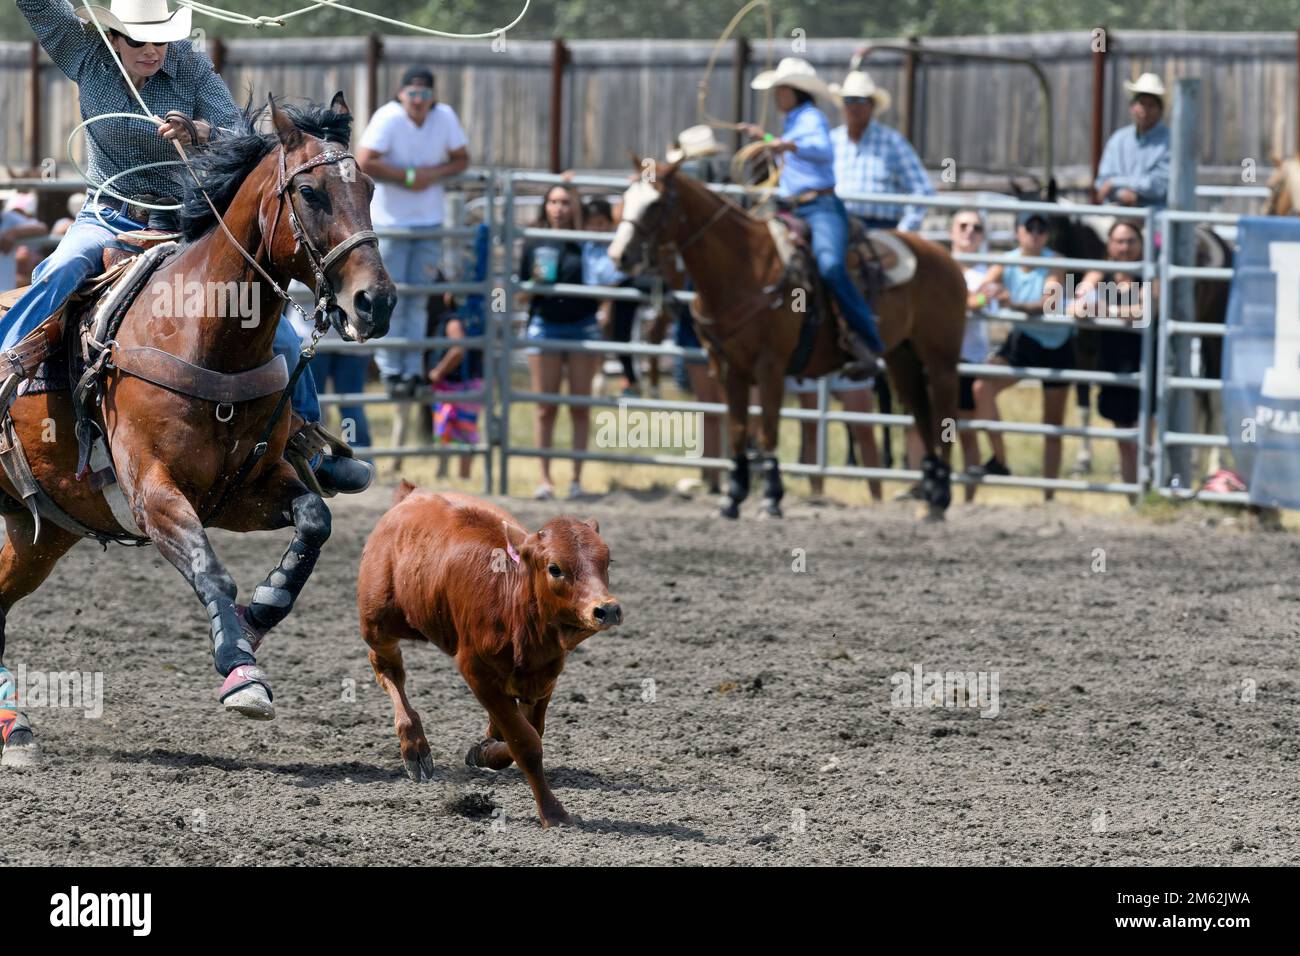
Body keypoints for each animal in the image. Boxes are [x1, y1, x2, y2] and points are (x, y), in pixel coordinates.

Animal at [0, 93, 392, 764]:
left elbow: (315, 520)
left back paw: (14, 726)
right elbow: (211, 569)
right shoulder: (153, 493)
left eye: (367, 188)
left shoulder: (244, 491)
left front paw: (259, 613)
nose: (377, 302)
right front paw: (241, 672)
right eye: (309, 191)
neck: (202, 331)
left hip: (37, 534)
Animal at [356, 481, 618, 827]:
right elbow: (526, 742)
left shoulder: (544, 676)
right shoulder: (477, 672)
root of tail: (412, 495)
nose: (608, 609)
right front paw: (553, 812)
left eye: (607, 561)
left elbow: (527, 732)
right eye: (555, 568)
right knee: (388, 669)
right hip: (377, 623)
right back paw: (415, 748)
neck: (513, 605)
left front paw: (483, 750)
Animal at [608, 160, 967, 520]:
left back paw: (942, 495)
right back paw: (930, 497)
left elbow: (768, 431)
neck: (743, 268)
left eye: (655, 203)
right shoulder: (728, 368)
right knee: (922, 416)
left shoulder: (770, 367)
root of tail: (944, 255)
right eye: (625, 197)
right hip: (901, 359)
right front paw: (732, 499)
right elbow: (738, 431)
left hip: (941, 361)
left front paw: (771, 498)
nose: (619, 254)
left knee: (944, 417)